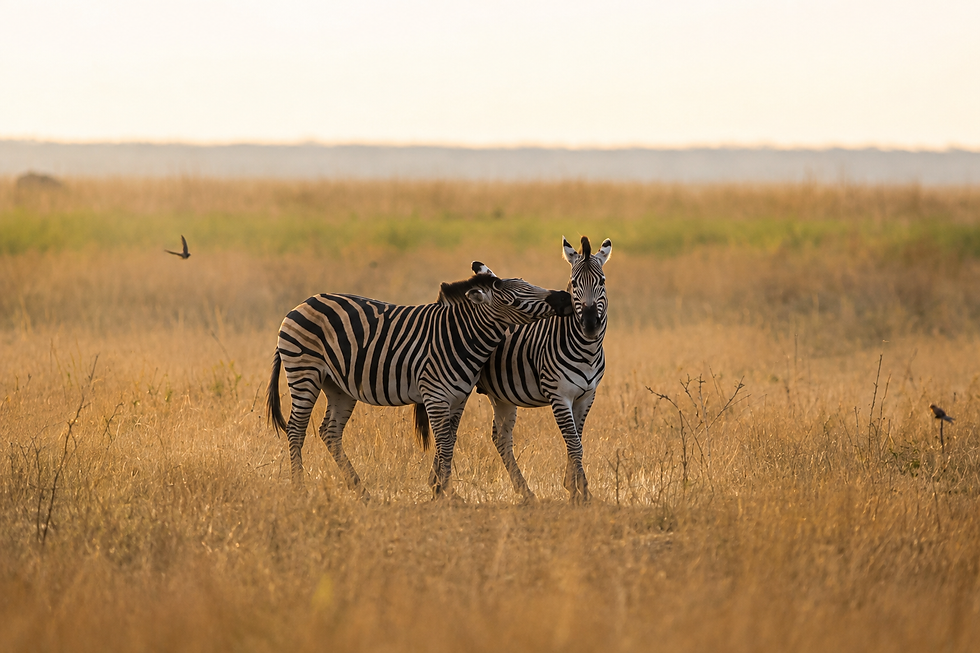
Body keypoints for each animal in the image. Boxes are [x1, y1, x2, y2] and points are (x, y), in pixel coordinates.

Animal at [265, 262, 572, 499]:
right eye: (512, 300)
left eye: (528, 283)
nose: (565, 299)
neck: (461, 336)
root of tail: (302, 304)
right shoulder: (435, 395)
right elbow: (444, 440)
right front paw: (447, 493)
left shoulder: (459, 398)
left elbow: (450, 438)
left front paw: (443, 490)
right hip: (304, 372)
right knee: (296, 429)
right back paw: (300, 489)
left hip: (338, 386)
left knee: (329, 431)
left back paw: (361, 491)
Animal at [475, 236, 612, 502]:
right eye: (574, 283)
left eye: (601, 281)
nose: (590, 324)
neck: (587, 351)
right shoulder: (559, 396)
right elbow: (574, 443)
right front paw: (580, 492)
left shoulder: (587, 396)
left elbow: (576, 440)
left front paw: (575, 488)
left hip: (501, 395)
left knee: (500, 436)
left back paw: (525, 491)